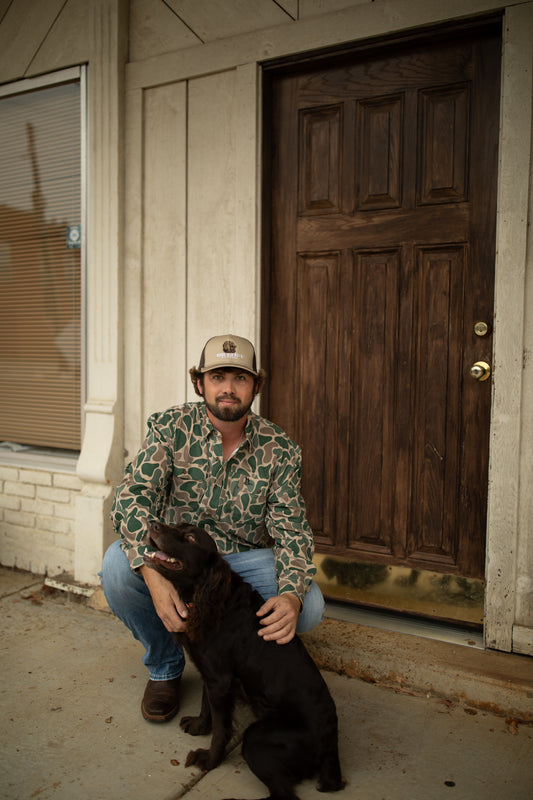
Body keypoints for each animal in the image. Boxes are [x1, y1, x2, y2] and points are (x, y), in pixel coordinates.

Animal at [142, 520, 340, 800]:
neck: (211, 599)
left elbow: (221, 729)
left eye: (190, 538)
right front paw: (199, 725)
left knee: (283, 794)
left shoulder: (220, 680)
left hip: (257, 738)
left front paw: (209, 760)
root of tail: (330, 747)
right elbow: (207, 707)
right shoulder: (212, 676)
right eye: (178, 525)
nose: (153, 524)